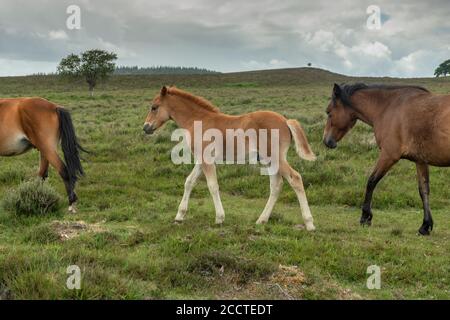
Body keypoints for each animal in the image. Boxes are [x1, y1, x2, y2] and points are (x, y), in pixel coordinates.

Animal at [142, 85, 316, 230]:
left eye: (154, 107)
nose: (145, 128)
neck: (198, 120)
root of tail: (286, 120)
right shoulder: (200, 160)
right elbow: (189, 182)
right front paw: (179, 216)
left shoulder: (206, 160)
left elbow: (212, 186)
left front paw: (219, 218)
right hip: (269, 161)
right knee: (276, 185)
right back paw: (261, 220)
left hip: (275, 158)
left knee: (295, 178)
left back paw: (309, 224)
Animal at [324, 82, 450, 235]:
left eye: (328, 112)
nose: (327, 141)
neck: (388, 107)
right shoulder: (421, 160)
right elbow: (424, 190)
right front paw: (425, 226)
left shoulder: (388, 155)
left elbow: (371, 181)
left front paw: (365, 217)